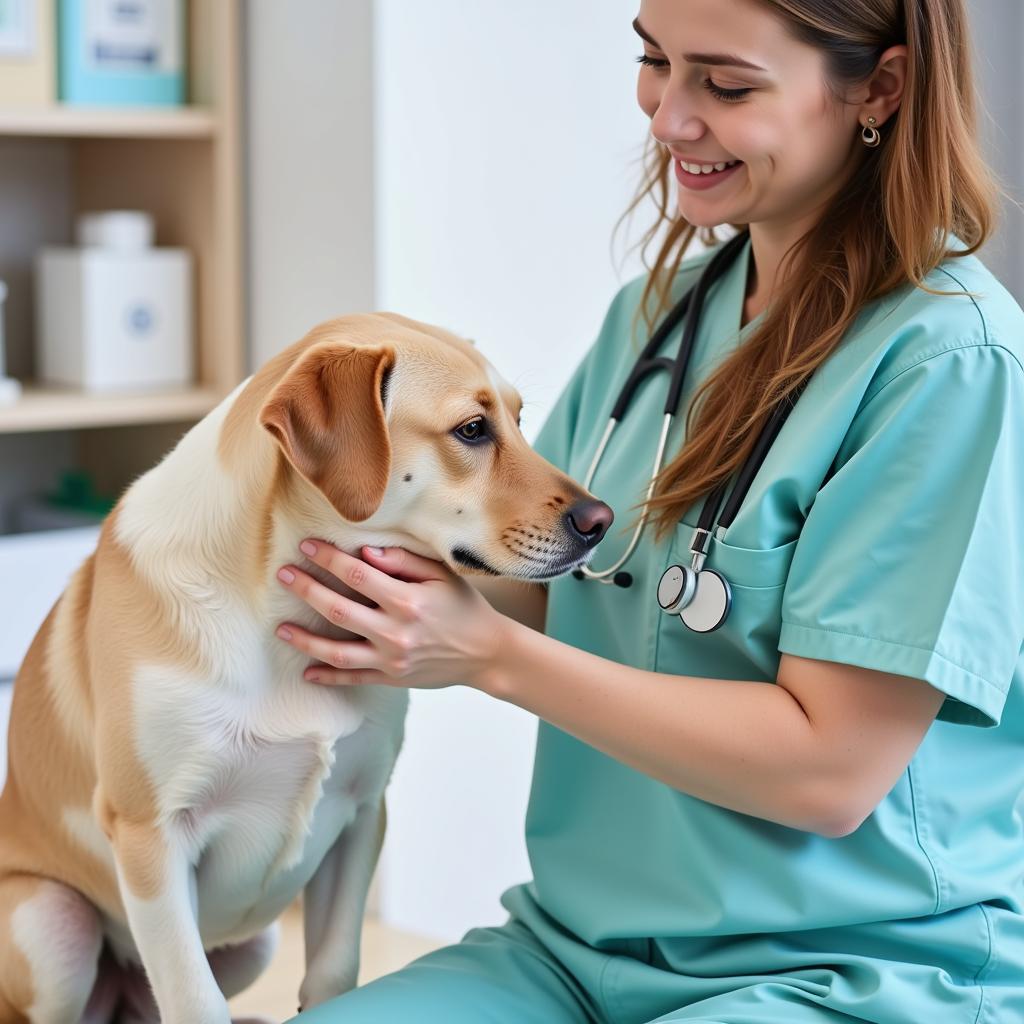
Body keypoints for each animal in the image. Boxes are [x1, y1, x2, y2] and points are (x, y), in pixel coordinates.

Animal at [0, 313, 606, 1024]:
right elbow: (194, 1000)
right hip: (51, 925)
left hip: (253, 942)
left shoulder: (362, 811)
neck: (277, 613)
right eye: (472, 429)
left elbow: (333, 971)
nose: (601, 521)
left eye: (518, 418)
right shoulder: (150, 836)